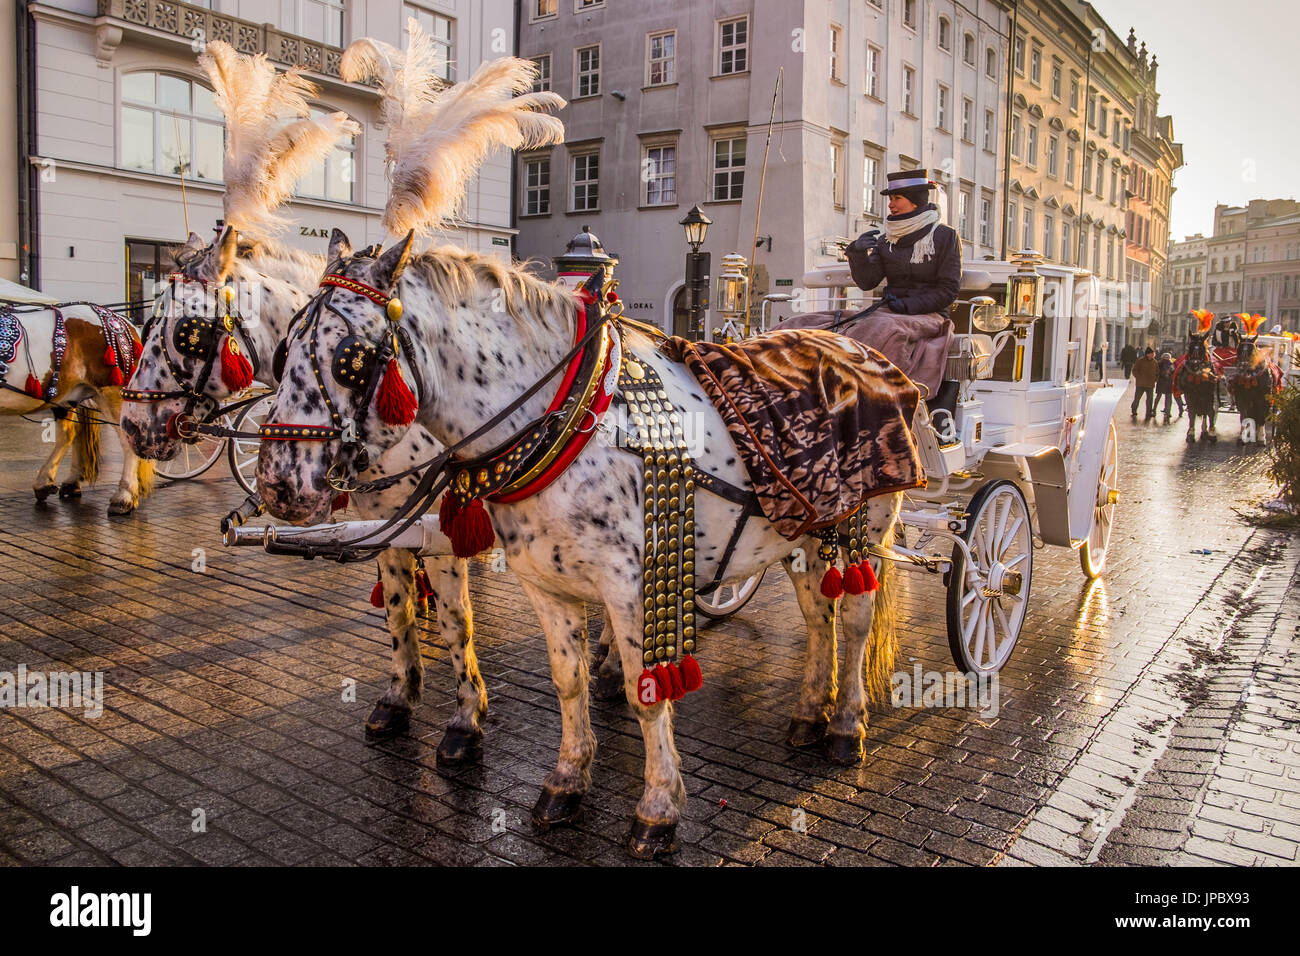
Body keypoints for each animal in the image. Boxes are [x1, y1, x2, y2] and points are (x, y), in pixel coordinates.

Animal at [0, 299, 155, 512]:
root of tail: (123, 320)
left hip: (111, 391)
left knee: (127, 438)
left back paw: (124, 495)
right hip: (66, 394)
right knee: (67, 435)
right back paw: (49, 482)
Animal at [119, 223, 491, 764]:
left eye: (190, 332)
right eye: (146, 324)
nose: (131, 425)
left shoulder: (442, 531)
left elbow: (455, 621)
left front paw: (465, 718)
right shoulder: (387, 526)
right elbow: (397, 610)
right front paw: (398, 697)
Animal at [253, 231, 904, 858]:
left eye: (349, 360)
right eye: (284, 350)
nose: (278, 482)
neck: (568, 416)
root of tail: (860, 349)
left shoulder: (632, 590)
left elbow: (647, 697)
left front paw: (658, 810)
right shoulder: (546, 584)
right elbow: (566, 680)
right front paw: (566, 782)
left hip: (865, 532)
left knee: (853, 622)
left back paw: (845, 726)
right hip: (799, 536)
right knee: (818, 617)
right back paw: (809, 713)